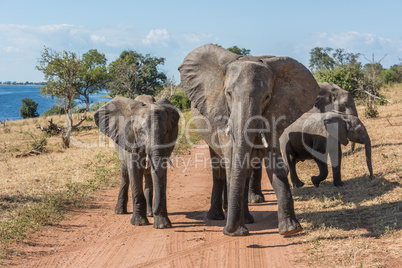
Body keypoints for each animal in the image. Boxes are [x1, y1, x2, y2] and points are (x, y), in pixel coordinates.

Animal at [94, 94, 179, 228]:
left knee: (149, 179)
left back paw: (149, 213)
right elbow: (134, 171)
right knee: (125, 176)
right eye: (141, 132)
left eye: (166, 132)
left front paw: (162, 226)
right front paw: (139, 223)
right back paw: (120, 212)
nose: (155, 211)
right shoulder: (130, 140)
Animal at [179, 43, 320, 236]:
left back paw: (245, 219)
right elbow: (232, 163)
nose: (227, 231)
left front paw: (291, 230)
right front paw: (237, 232)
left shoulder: (273, 113)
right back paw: (219, 217)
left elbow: (274, 161)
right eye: (228, 94)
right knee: (220, 168)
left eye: (267, 96)